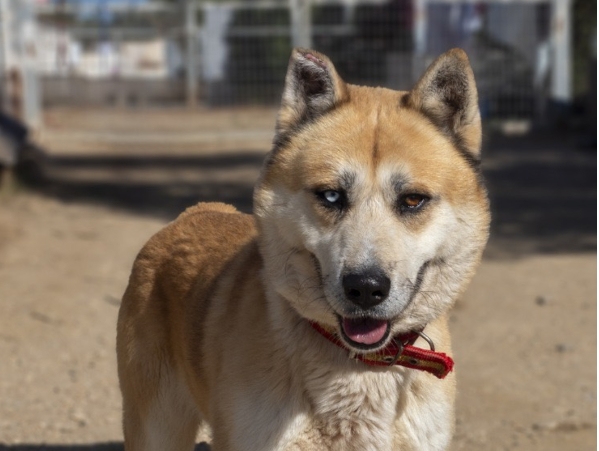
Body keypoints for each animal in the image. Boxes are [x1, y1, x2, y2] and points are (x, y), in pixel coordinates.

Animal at [117, 47, 490, 451]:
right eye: (331, 196)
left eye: (412, 200)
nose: (365, 288)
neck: (357, 365)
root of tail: (196, 210)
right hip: (156, 428)